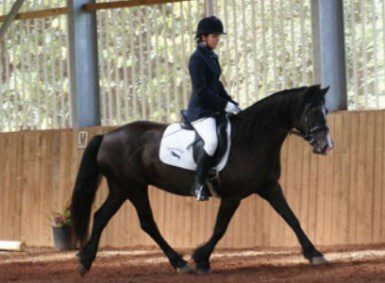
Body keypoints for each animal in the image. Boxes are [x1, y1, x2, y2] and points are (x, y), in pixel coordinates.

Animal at [71, 84, 332, 276]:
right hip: (134, 187)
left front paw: (314, 253)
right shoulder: (233, 196)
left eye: (326, 111)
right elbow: (220, 228)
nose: (326, 146)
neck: (251, 139)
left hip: (120, 188)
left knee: (100, 216)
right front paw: (201, 259)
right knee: (147, 223)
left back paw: (85, 261)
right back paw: (179, 262)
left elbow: (291, 218)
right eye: (312, 112)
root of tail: (106, 136)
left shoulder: (269, 187)